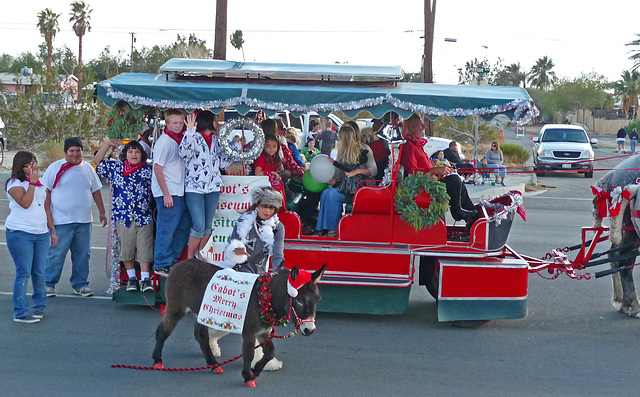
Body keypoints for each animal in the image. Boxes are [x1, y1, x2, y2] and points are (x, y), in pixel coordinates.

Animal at [151, 258, 324, 386]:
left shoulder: (264, 331)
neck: (266, 297)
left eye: (317, 299)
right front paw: (248, 377)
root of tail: (177, 265)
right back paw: (157, 361)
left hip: (201, 313)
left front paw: (256, 371)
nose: (310, 330)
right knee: (163, 331)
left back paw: (213, 365)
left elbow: (270, 352)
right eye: (299, 300)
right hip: (176, 307)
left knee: (201, 337)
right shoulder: (249, 331)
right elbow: (248, 353)